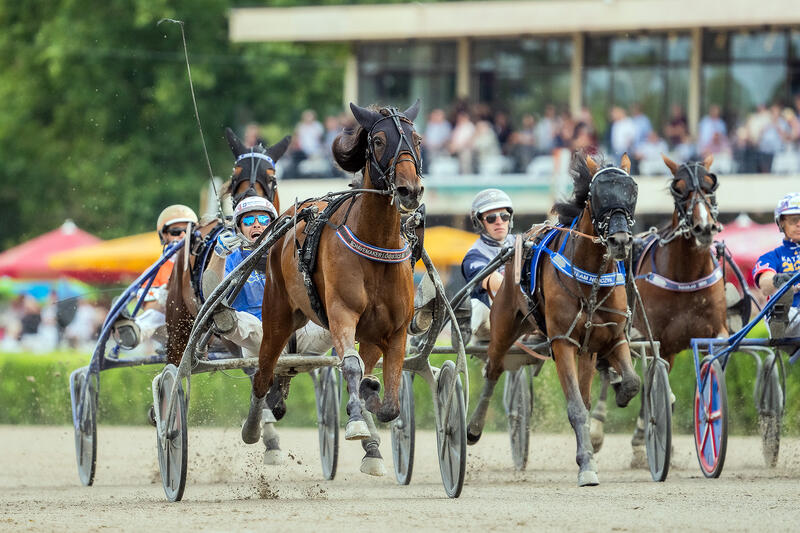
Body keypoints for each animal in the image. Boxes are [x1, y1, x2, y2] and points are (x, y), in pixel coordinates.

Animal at [241, 102, 424, 476]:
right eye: (379, 140)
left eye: (417, 139)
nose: (409, 190)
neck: (376, 243)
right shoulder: (342, 313)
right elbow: (350, 366)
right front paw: (356, 420)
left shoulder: (395, 329)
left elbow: (390, 403)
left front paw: (370, 397)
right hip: (277, 315)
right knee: (263, 374)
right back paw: (255, 427)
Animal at [466, 152, 640, 484]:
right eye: (598, 196)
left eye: (632, 191)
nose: (620, 241)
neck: (591, 280)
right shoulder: (562, 341)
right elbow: (575, 408)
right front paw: (586, 466)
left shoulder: (612, 338)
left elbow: (631, 383)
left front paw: (620, 394)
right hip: (504, 327)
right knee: (493, 369)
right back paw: (472, 428)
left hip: (586, 349)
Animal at [588, 152, 724, 464]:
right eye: (679, 188)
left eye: (711, 184)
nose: (704, 228)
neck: (686, 276)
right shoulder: (650, 338)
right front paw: (643, 440)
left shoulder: (714, 334)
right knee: (605, 371)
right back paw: (597, 427)